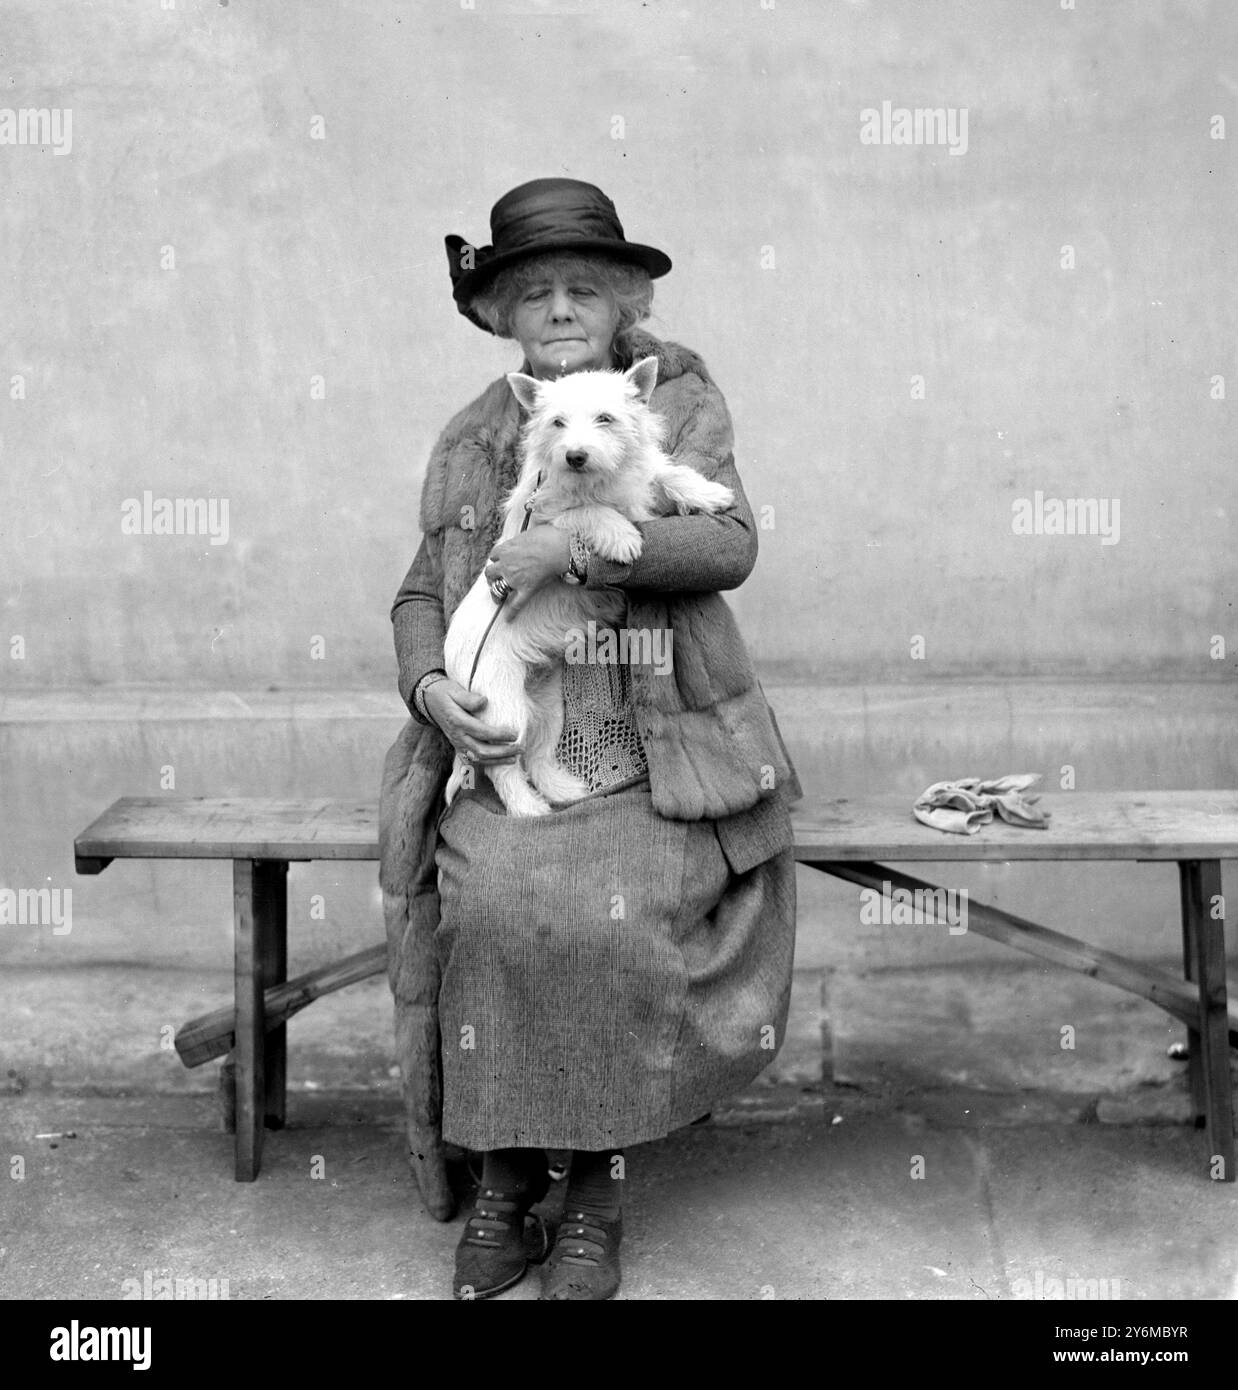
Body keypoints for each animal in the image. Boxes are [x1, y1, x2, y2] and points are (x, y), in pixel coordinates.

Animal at [441, 353, 733, 817]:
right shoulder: (547, 516)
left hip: (546, 704)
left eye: (605, 419)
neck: (595, 479)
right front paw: (622, 536)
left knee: (537, 754)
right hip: (502, 709)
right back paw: (530, 810)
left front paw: (708, 493)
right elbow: (586, 512)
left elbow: (662, 471)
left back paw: (563, 791)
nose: (575, 456)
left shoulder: (638, 478)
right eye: (557, 422)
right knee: (502, 767)